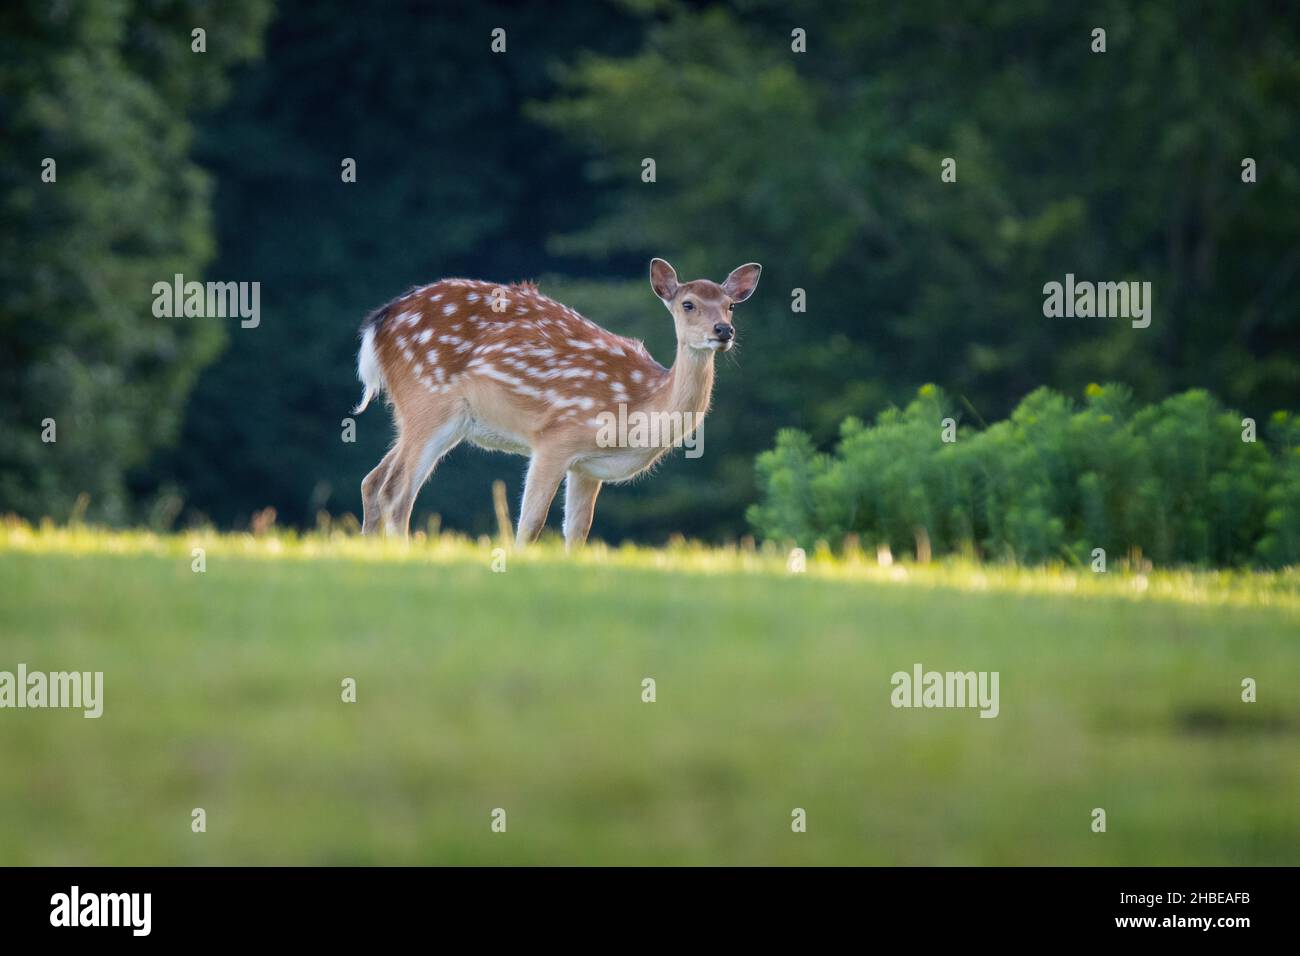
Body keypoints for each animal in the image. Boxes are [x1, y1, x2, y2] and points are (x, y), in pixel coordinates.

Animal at [352, 258, 761, 548]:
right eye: (688, 304)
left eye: (730, 306)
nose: (723, 331)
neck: (637, 410)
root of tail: (379, 323)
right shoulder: (556, 438)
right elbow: (530, 524)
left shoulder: (587, 467)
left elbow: (577, 532)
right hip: (430, 398)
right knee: (396, 491)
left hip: (426, 415)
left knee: (373, 481)